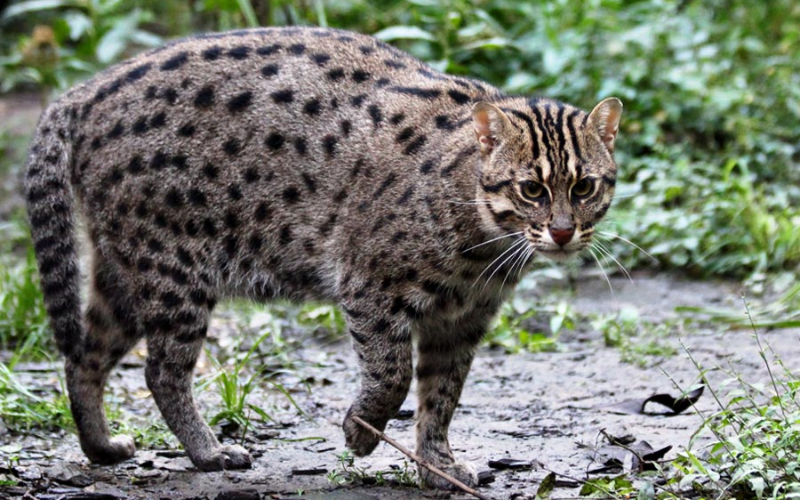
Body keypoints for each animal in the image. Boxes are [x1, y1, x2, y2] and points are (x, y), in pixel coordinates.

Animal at [25, 26, 620, 488]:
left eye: (585, 186)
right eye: (531, 189)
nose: (563, 232)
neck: (482, 245)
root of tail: (83, 92)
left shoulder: (464, 319)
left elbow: (442, 396)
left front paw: (436, 466)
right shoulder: (370, 285)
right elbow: (392, 375)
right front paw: (360, 432)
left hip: (125, 272)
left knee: (84, 354)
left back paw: (101, 446)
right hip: (173, 270)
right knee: (160, 372)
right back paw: (208, 451)